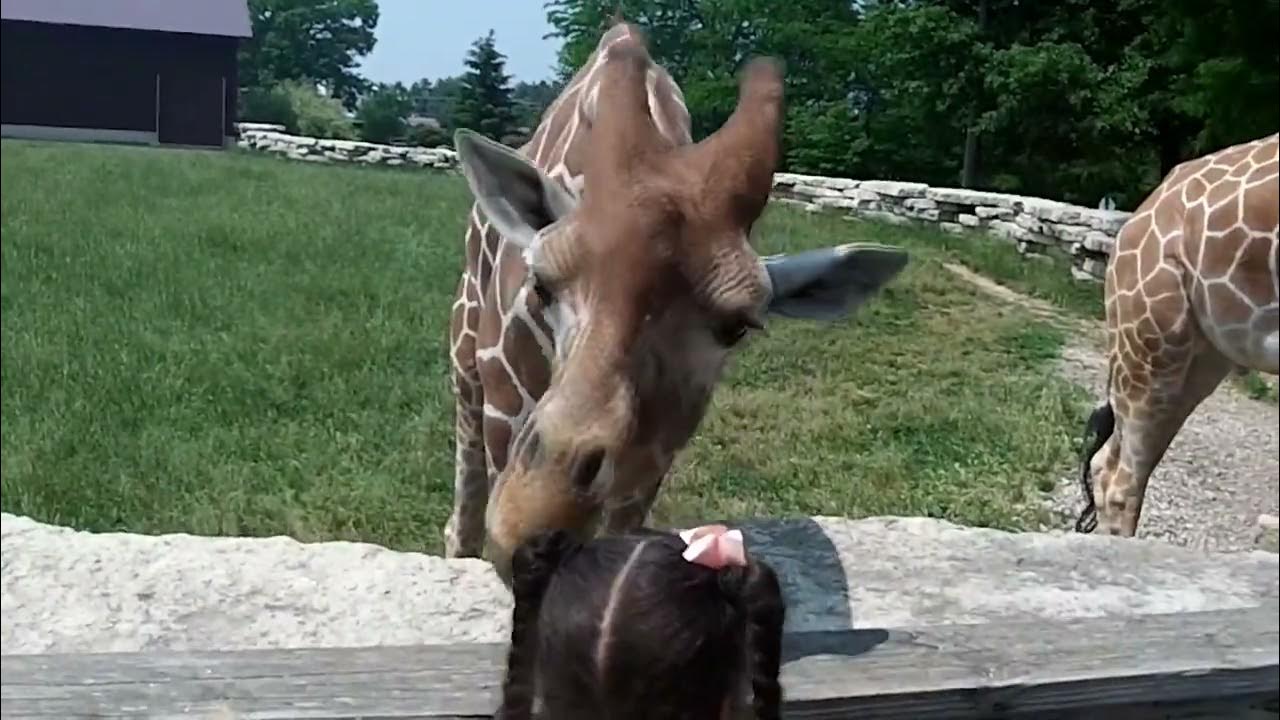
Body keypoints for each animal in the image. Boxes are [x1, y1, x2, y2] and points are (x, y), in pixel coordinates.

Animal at [443, 21, 911, 581]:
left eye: (737, 326)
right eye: (541, 286)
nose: (533, 516)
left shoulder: (651, 465)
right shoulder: (505, 411)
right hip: (466, 351)